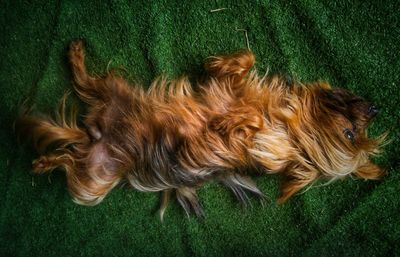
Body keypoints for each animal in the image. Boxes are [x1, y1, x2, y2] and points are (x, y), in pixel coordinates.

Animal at [16, 41, 388, 217]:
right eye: (351, 134)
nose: (374, 108)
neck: (283, 117)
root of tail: (95, 135)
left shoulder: (266, 148)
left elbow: (249, 128)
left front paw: (232, 121)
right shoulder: (223, 86)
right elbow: (246, 59)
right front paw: (227, 70)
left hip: (94, 184)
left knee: (70, 162)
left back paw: (44, 162)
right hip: (117, 91)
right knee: (86, 85)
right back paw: (76, 56)